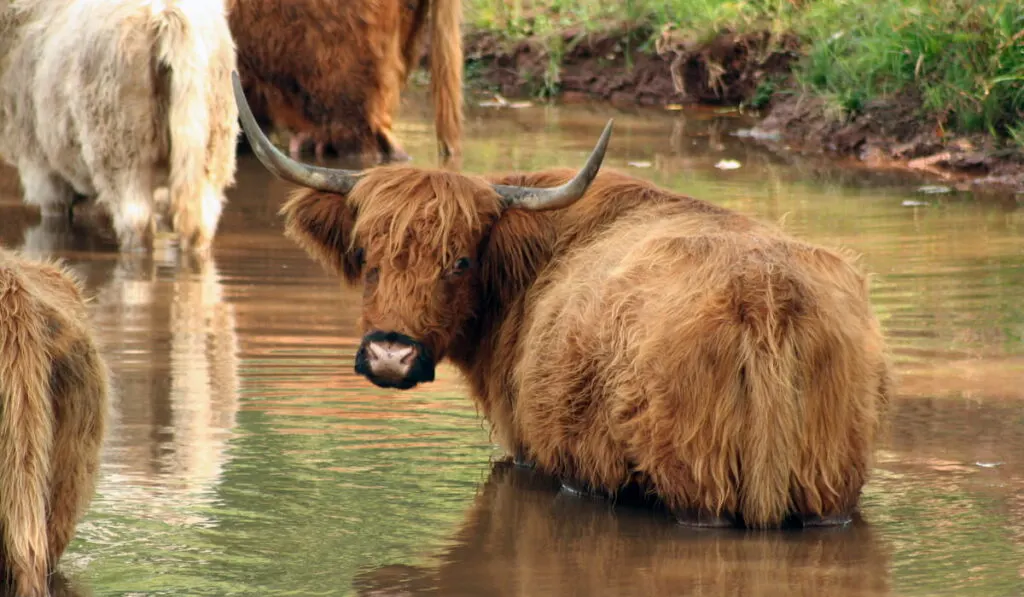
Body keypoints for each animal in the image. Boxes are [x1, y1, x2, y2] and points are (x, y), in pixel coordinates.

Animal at [0, 0, 240, 254]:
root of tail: (167, 13)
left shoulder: (41, 169)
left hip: (121, 151)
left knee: (137, 228)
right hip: (210, 150)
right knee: (196, 229)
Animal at [230, 72, 888, 528]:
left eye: (460, 261)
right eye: (366, 255)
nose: (390, 356)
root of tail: (766, 295)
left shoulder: (529, 451)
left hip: (701, 489)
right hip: (828, 490)